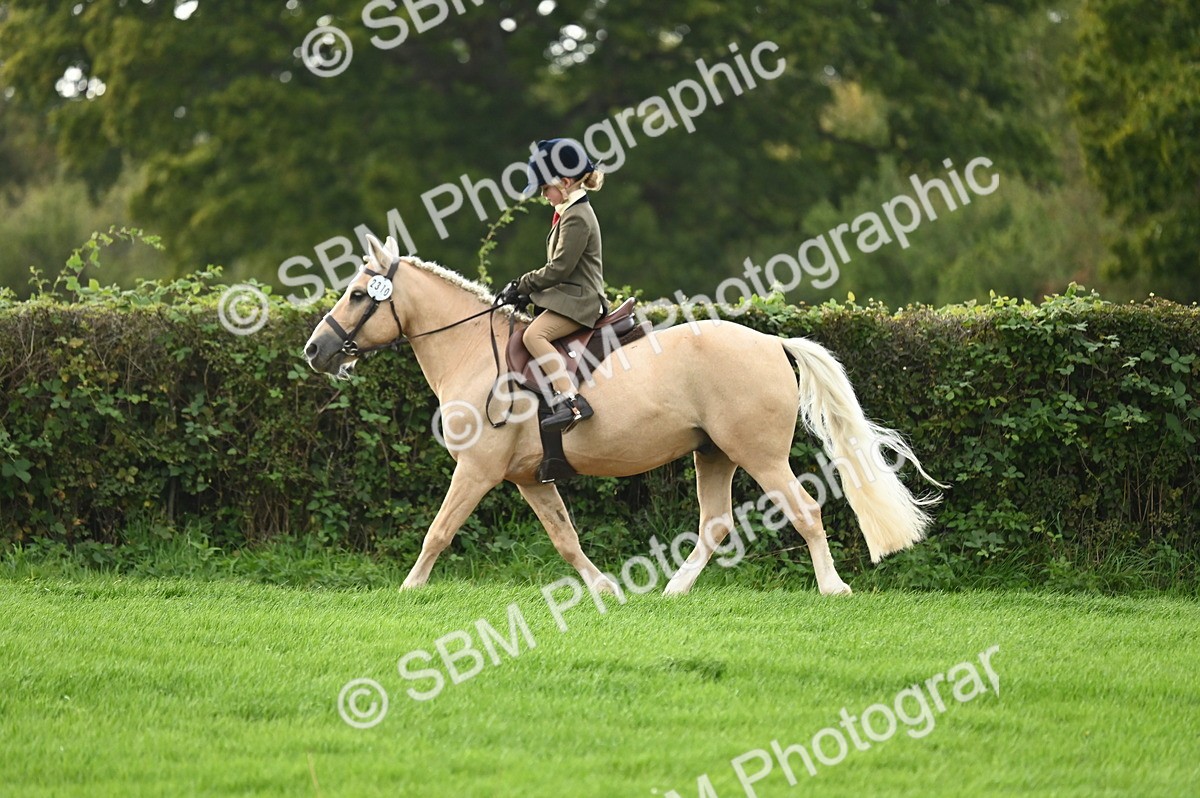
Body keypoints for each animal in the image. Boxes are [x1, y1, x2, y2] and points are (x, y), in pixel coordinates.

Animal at [303, 235, 943, 596]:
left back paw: (833, 588)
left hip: (758, 454)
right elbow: (565, 538)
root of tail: (769, 341)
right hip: (713, 454)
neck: (472, 351)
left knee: (804, 509)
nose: (315, 349)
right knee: (715, 525)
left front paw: (409, 590)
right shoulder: (529, 479)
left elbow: (438, 530)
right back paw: (674, 591)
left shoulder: (478, 471)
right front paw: (605, 588)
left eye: (359, 295)